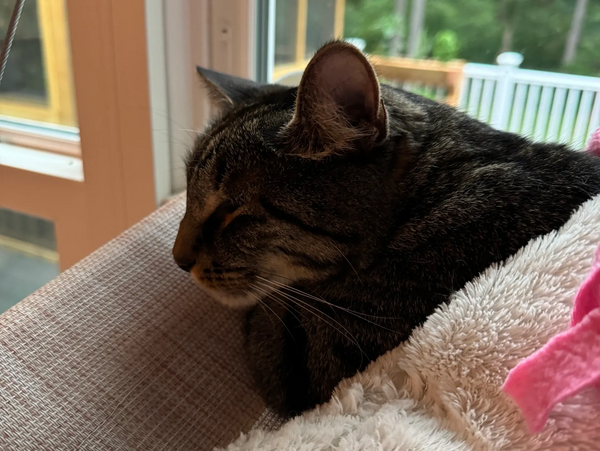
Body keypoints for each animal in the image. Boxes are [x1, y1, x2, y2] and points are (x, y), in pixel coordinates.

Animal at [171, 40, 600, 418]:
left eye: (232, 211)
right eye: (188, 192)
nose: (178, 259)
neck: (425, 201)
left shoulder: (311, 357)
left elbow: (263, 312)